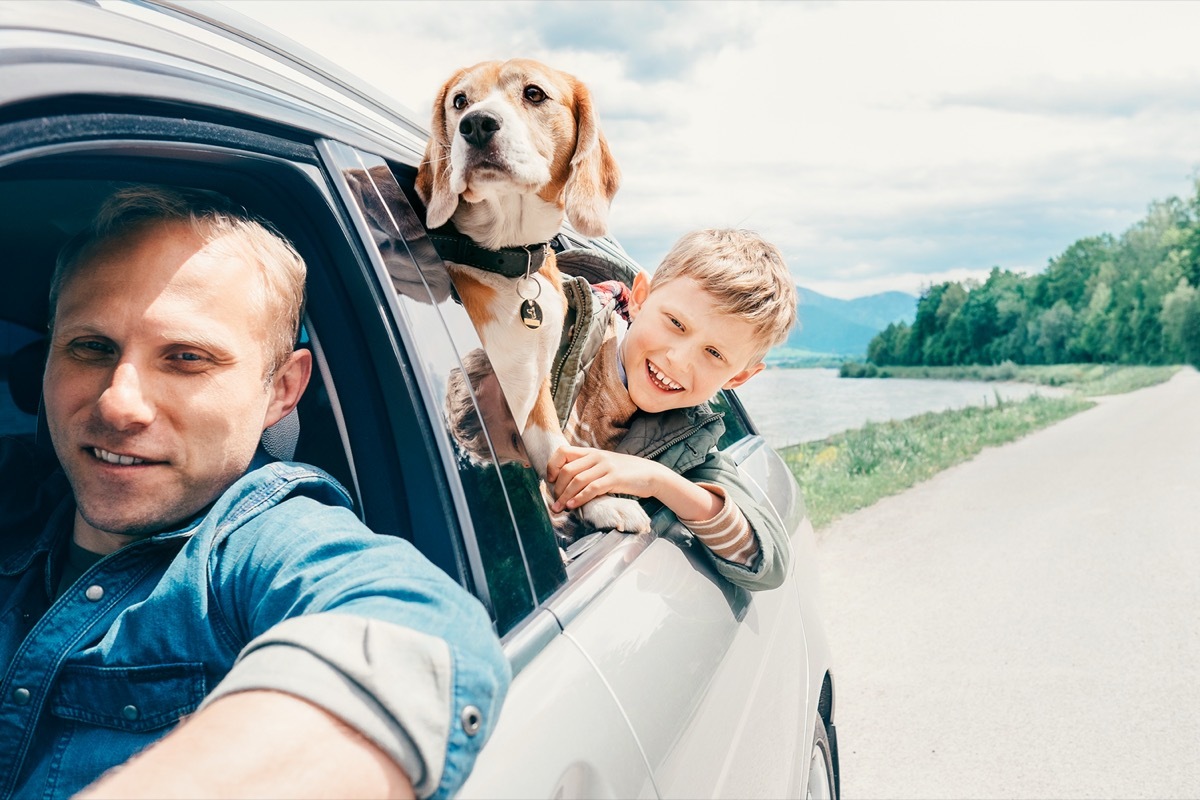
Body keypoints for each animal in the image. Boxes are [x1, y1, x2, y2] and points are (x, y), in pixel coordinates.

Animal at [417, 59, 652, 534]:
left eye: (534, 93)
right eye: (460, 101)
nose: (476, 124)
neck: (509, 261)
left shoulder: (534, 383)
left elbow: (556, 450)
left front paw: (599, 502)